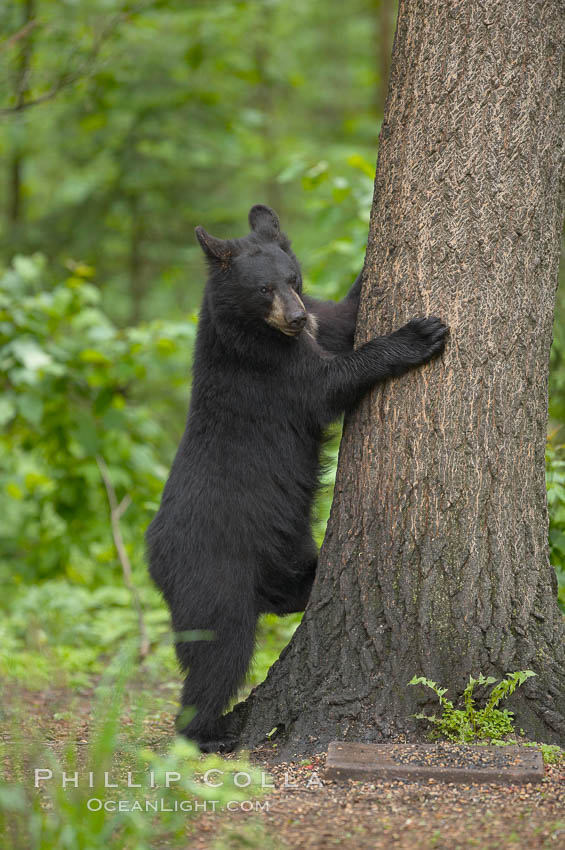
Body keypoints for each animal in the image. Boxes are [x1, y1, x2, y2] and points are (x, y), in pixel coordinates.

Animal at [146, 204, 448, 752]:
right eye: (263, 289)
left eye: (293, 278)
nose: (295, 316)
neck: (257, 333)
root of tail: (152, 558)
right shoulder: (269, 371)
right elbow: (329, 382)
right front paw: (418, 334)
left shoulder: (316, 325)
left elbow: (343, 316)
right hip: (211, 573)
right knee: (217, 651)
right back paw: (208, 734)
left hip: (281, 551)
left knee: (284, 597)